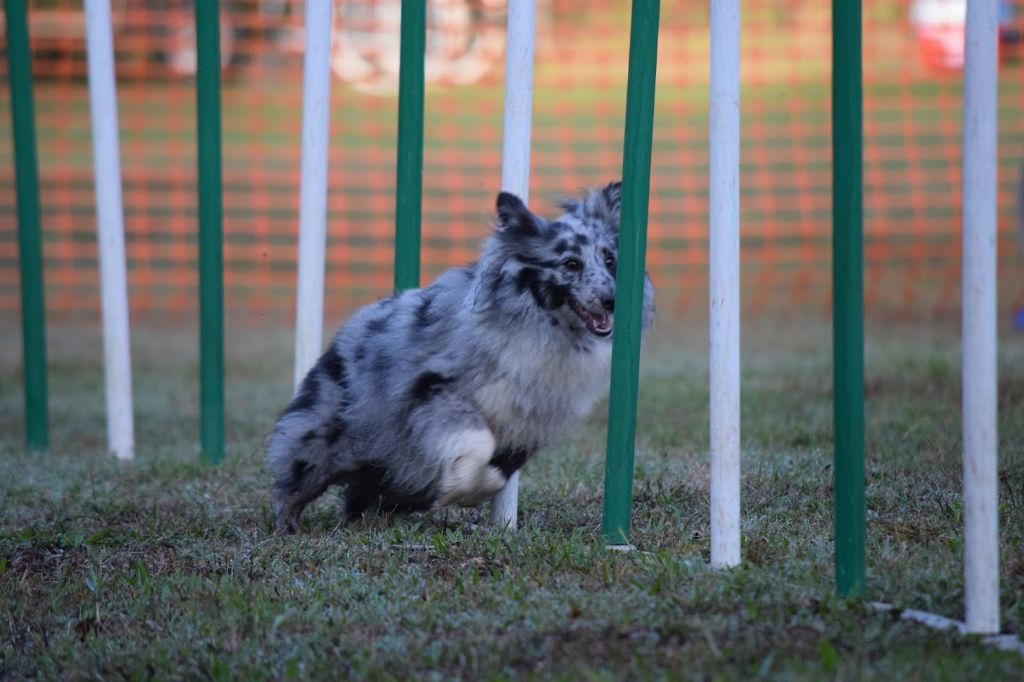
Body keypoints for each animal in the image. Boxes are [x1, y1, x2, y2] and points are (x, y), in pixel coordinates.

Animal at [266, 180, 655, 532]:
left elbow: (498, 473)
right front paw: (459, 489)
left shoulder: (528, 424)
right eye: (571, 263)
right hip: (325, 440)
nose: (612, 300)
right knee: (295, 483)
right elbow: (477, 442)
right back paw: (288, 528)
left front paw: (470, 493)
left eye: (610, 259)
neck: (543, 328)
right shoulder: (436, 391)